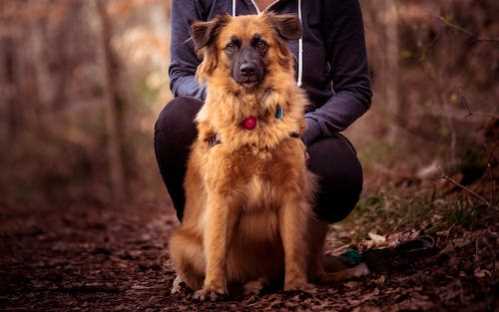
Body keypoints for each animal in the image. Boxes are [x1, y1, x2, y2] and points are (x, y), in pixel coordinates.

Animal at [168, 12, 348, 302]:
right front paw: (213, 287)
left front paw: (296, 284)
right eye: (231, 46)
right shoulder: (222, 196)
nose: (248, 70)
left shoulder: (291, 195)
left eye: (261, 43)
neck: (253, 121)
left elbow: (294, 247)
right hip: (179, 243)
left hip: (316, 220)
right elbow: (216, 248)